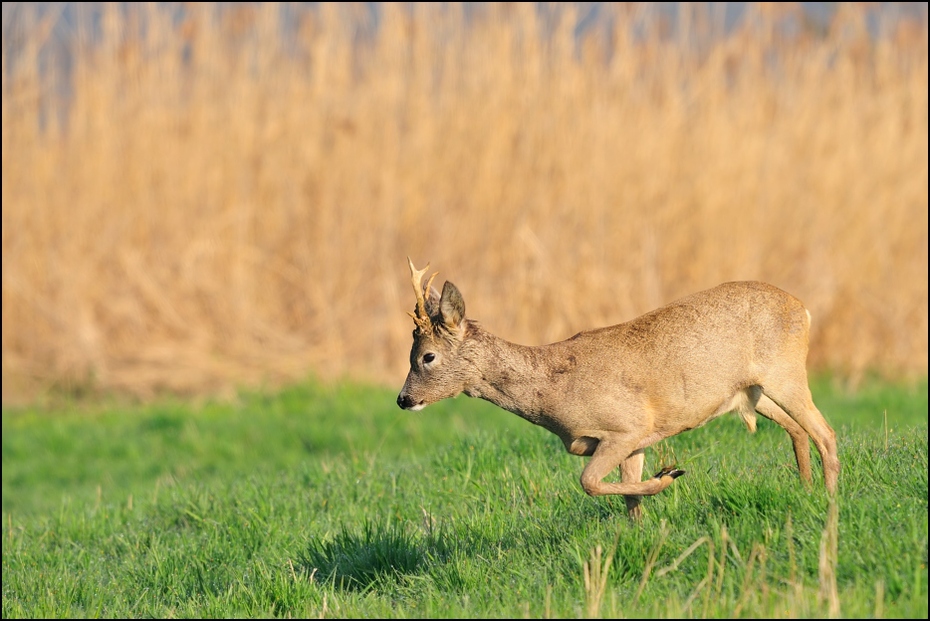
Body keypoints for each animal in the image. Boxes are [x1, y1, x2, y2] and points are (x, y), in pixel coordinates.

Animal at [396, 260, 836, 516]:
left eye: (427, 357)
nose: (403, 399)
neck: (552, 391)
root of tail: (803, 309)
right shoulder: (634, 440)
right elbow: (630, 498)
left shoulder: (625, 427)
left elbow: (589, 483)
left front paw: (670, 474)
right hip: (752, 392)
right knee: (798, 431)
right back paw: (806, 489)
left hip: (785, 372)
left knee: (825, 432)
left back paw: (830, 499)